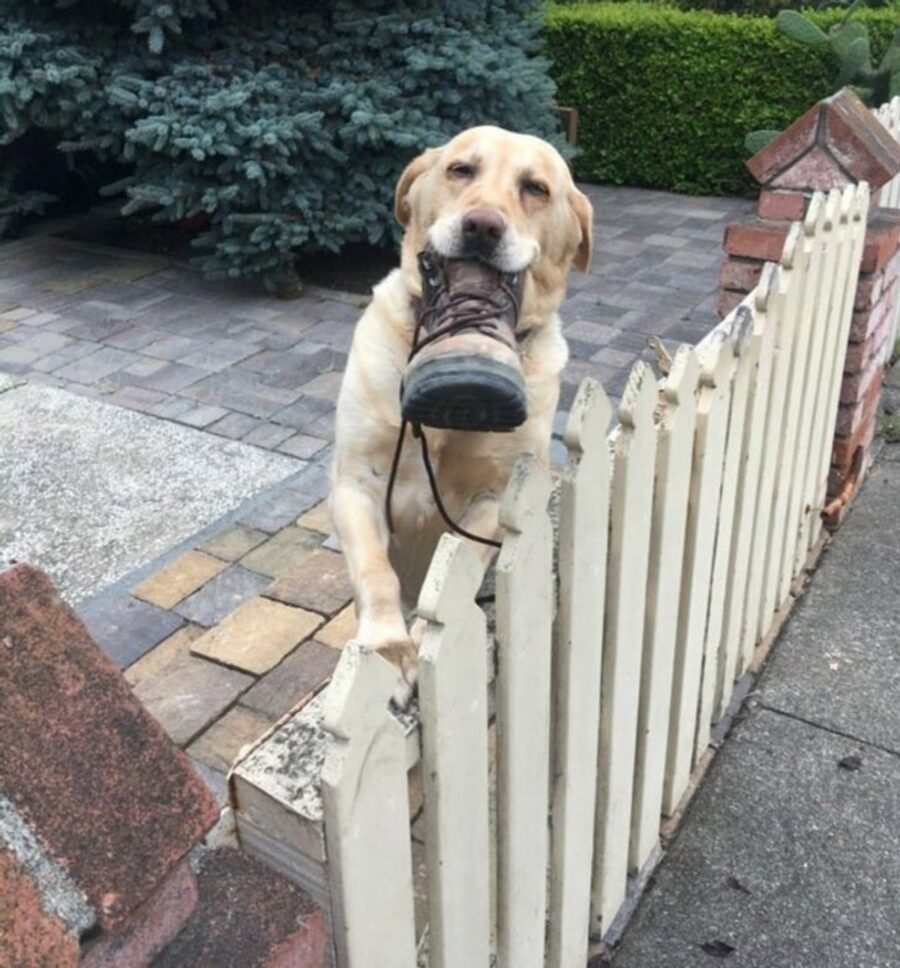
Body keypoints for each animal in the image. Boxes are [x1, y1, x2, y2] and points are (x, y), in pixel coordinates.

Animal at [330, 125, 592, 692]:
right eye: (460, 170)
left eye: (535, 188)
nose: (482, 226)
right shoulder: (356, 484)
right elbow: (377, 572)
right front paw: (389, 646)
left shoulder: (497, 497)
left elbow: (457, 565)